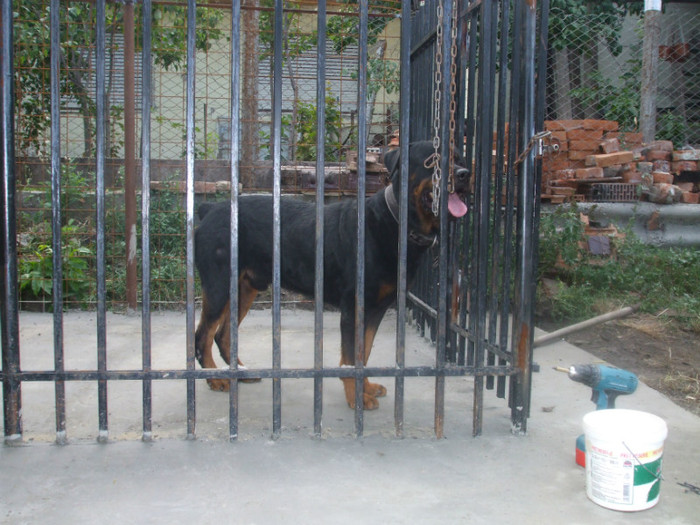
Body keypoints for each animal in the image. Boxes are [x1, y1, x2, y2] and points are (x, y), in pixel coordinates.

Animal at [193, 142, 470, 410]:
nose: (464, 174)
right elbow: (351, 355)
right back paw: (215, 378)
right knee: (203, 335)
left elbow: (363, 352)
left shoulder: (376, 309)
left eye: (459, 157)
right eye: (431, 161)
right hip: (218, 286)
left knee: (223, 334)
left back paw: (239, 372)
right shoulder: (354, 308)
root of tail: (209, 209)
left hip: (244, 288)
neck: (396, 222)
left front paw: (366, 387)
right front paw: (356, 398)